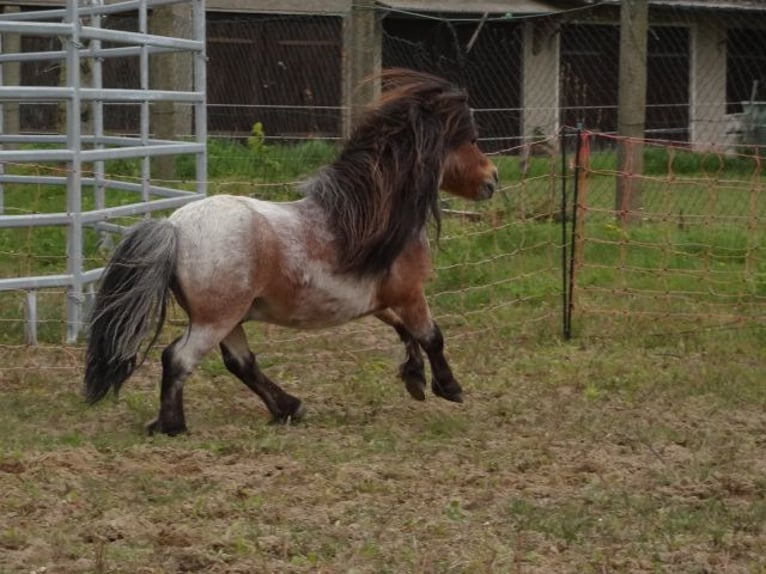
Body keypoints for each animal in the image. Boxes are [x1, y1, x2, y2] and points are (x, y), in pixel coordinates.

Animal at [84, 68, 500, 436]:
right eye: (472, 138)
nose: (493, 179)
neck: (365, 218)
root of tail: (174, 227)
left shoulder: (379, 300)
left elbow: (404, 330)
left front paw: (414, 379)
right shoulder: (410, 294)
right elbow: (432, 336)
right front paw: (449, 388)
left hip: (229, 319)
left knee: (240, 362)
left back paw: (288, 408)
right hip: (215, 319)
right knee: (180, 359)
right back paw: (173, 426)